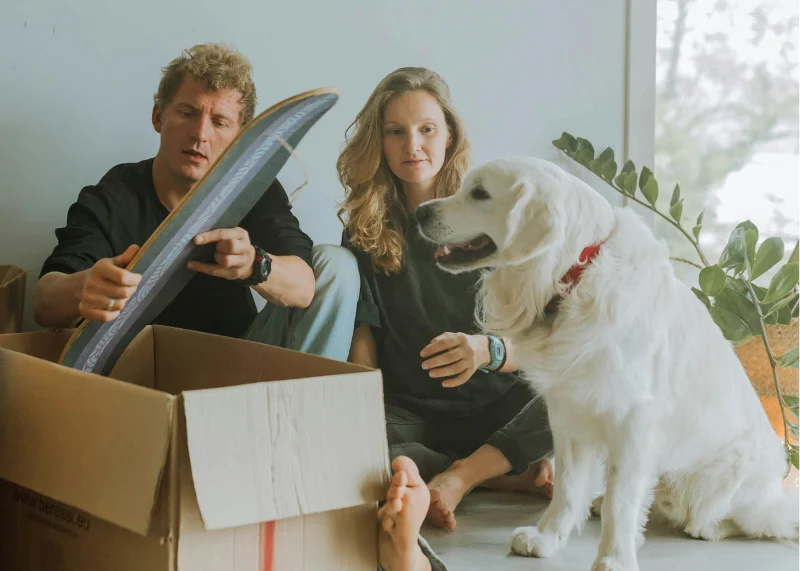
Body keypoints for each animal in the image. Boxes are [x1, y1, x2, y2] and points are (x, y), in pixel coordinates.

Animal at [416, 156, 796, 571]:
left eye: (480, 193)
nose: (420, 212)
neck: (574, 277)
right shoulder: (567, 412)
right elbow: (568, 488)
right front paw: (547, 538)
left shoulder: (632, 421)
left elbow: (622, 499)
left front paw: (614, 557)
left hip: (724, 480)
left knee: (740, 521)